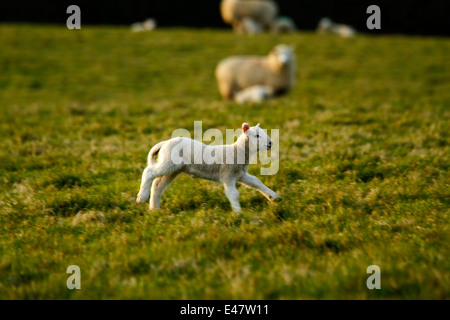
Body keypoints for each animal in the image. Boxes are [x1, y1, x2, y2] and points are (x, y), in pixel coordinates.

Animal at [135, 123, 280, 212]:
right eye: (257, 135)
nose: (270, 143)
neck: (237, 151)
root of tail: (165, 142)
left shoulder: (240, 174)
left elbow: (256, 181)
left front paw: (274, 197)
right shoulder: (227, 175)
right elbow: (233, 193)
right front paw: (239, 213)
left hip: (173, 169)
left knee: (158, 184)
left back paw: (154, 208)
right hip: (168, 162)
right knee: (148, 172)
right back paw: (142, 197)